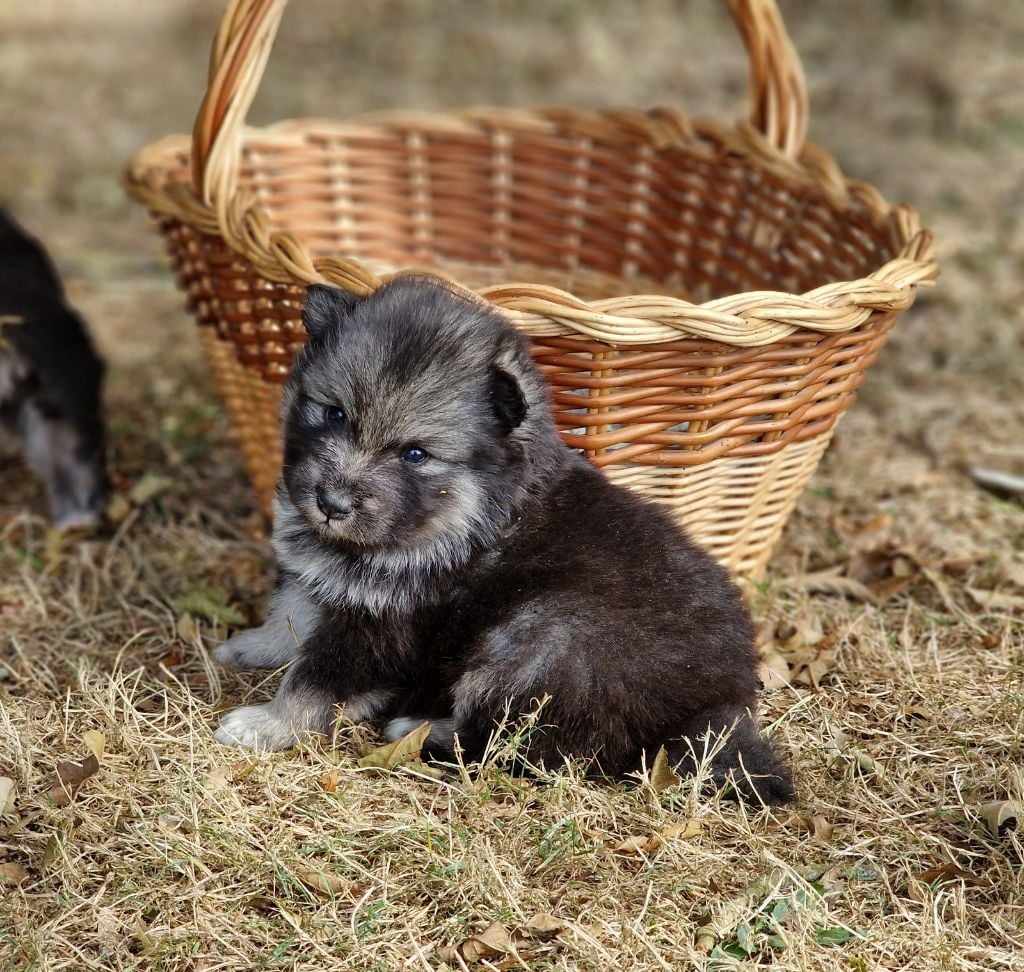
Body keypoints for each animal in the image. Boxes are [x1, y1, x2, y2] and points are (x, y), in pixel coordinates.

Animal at [214, 272, 790, 803]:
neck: (466, 519)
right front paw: (249, 645)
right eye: (334, 414)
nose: (331, 504)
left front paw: (264, 724)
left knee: (527, 745)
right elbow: (290, 614)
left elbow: (315, 680)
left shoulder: (380, 625)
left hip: (545, 638)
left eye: (415, 454)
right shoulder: (323, 581)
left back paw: (421, 730)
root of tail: (714, 710)